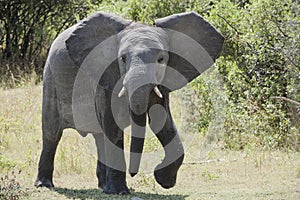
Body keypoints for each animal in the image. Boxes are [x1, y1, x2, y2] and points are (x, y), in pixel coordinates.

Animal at [34, 10, 224, 194]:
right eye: (122, 59)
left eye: (161, 60)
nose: (134, 173)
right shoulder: (105, 77)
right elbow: (113, 126)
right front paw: (119, 192)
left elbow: (161, 121)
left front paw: (163, 179)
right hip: (50, 79)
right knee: (52, 133)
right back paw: (44, 184)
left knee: (99, 136)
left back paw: (103, 186)